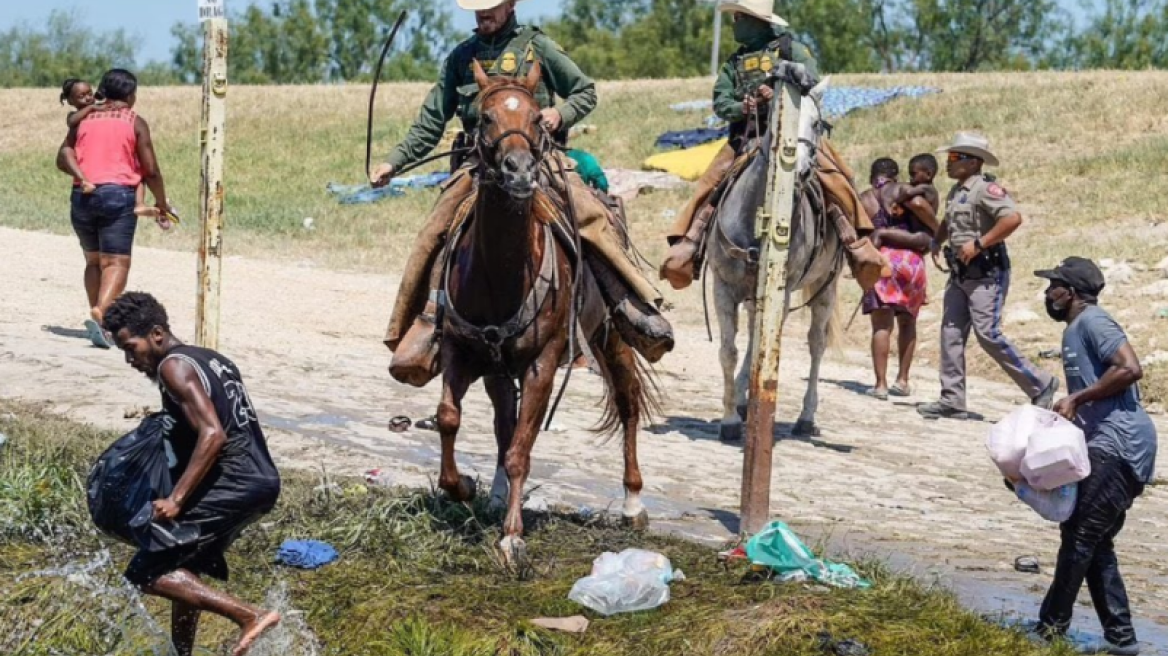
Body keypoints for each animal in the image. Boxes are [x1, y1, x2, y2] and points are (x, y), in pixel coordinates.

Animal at [436, 61, 658, 560]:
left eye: (538, 118)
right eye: (485, 117)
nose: (519, 171)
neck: (500, 273)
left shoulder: (543, 363)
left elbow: (522, 449)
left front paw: (512, 537)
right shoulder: (462, 351)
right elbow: (450, 419)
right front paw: (462, 488)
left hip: (610, 336)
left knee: (628, 402)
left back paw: (633, 502)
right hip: (500, 369)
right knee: (504, 421)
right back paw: (497, 492)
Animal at [705, 80, 845, 438]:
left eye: (817, 124)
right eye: (777, 121)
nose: (801, 171)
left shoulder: (781, 292)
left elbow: (763, 348)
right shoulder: (723, 287)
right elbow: (729, 351)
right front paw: (730, 419)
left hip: (825, 288)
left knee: (815, 344)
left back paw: (805, 418)